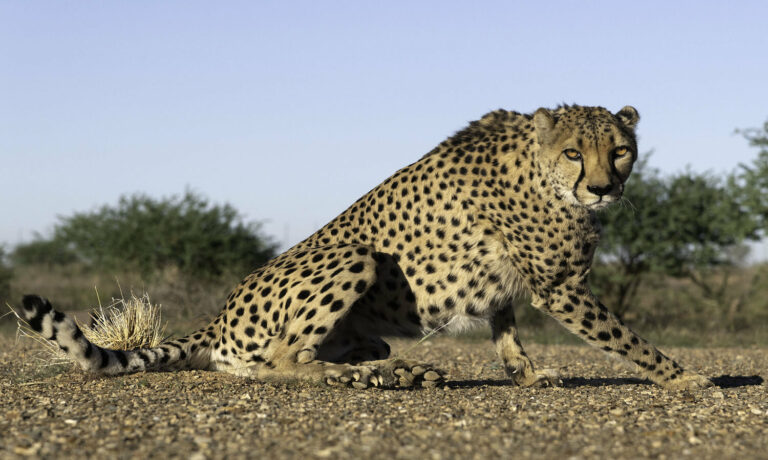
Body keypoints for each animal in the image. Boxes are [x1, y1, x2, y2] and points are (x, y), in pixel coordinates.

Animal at [21, 104, 713, 390]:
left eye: (619, 150)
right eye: (575, 152)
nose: (603, 187)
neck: (541, 168)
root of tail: (217, 317)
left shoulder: (511, 283)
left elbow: (506, 324)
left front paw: (524, 373)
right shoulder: (562, 287)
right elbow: (626, 339)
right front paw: (685, 377)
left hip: (366, 320)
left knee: (348, 350)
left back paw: (400, 369)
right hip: (352, 257)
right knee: (278, 362)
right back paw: (361, 377)